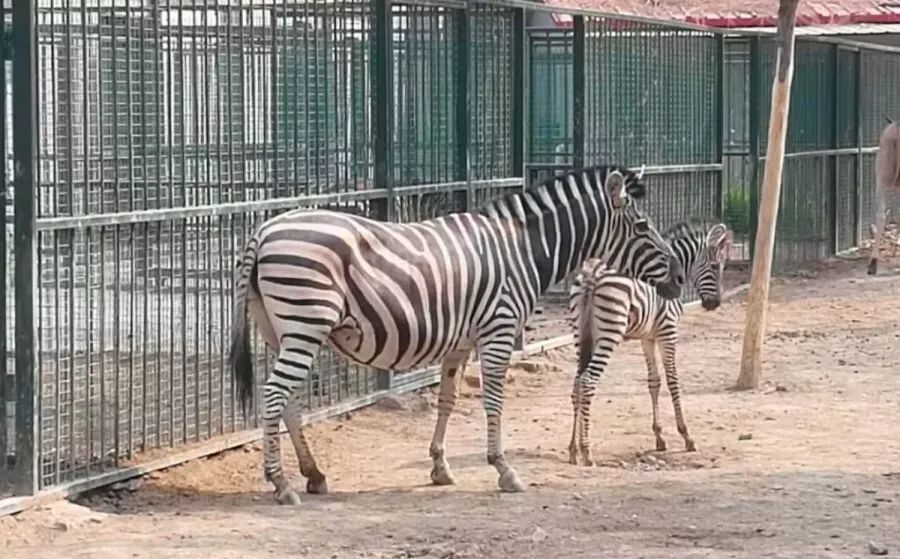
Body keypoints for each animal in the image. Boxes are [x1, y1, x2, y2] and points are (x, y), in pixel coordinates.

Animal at [230, 164, 684, 506]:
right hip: (305, 322)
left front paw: (439, 467)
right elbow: (494, 401)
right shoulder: (499, 331)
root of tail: (264, 230)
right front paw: (504, 469)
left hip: (280, 329)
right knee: (274, 394)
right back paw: (281, 484)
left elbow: (447, 401)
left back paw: (313, 474)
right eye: (642, 226)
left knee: (287, 401)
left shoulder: (460, 342)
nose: (679, 279)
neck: (523, 251)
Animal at [568, 220, 732, 468]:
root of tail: (592, 273)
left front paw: (659, 436)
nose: (715, 304)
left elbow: (653, 381)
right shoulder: (668, 331)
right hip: (609, 333)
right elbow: (673, 380)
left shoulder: (648, 336)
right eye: (715, 266)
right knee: (587, 382)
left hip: (581, 335)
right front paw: (686, 436)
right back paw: (587, 450)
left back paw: (573, 449)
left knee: (577, 382)